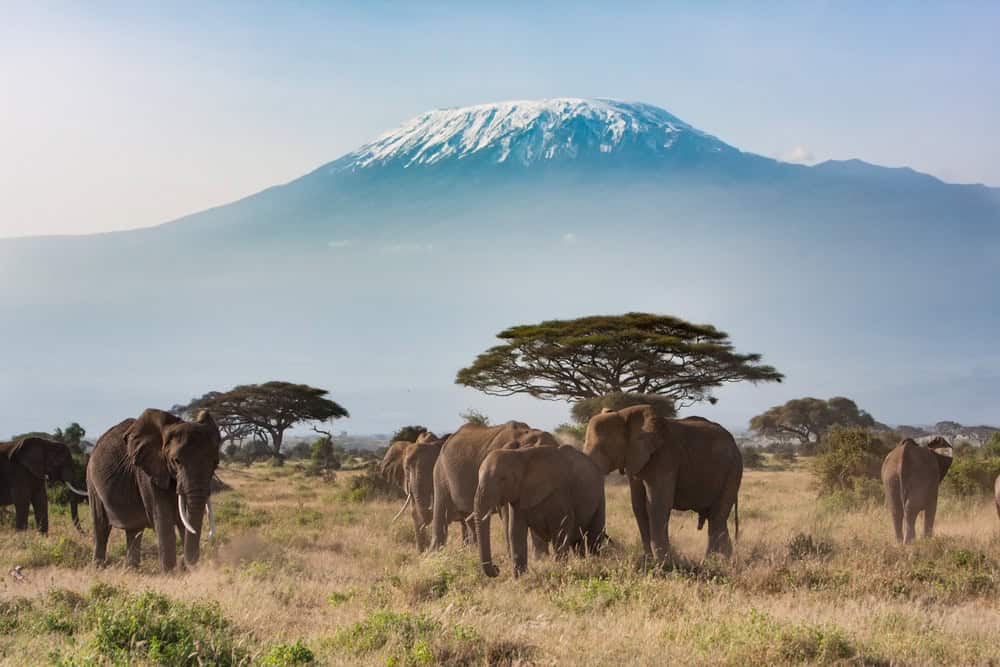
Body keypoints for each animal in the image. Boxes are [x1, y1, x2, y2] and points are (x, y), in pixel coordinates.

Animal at [87, 409, 221, 571]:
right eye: (177, 461)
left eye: (215, 462)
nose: (184, 563)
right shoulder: (147, 473)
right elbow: (163, 520)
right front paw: (170, 573)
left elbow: (183, 520)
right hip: (92, 481)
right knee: (101, 526)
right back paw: (98, 568)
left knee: (134, 530)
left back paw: (132, 569)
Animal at [474, 444, 606, 577]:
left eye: (503, 479)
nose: (497, 568)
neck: (518, 456)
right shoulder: (518, 497)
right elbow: (515, 532)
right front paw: (520, 578)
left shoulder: (560, 494)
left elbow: (561, 532)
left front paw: (560, 570)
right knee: (577, 543)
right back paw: (583, 562)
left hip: (599, 496)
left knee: (593, 537)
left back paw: (596, 563)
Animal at [583, 406, 742, 563]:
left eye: (603, 448)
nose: (610, 542)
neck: (624, 414)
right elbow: (639, 507)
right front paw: (649, 560)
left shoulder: (664, 458)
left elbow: (657, 506)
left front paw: (663, 563)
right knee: (715, 518)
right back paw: (721, 560)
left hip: (732, 471)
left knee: (717, 517)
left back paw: (714, 561)